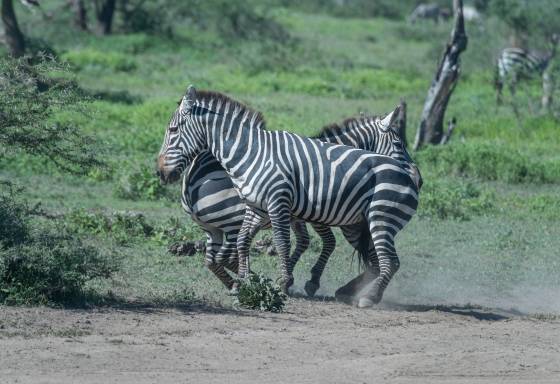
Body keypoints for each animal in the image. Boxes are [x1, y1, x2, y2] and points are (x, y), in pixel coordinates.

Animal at [156, 88, 420, 308]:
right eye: (399, 143)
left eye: (172, 130)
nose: (160, 172)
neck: (251, 154)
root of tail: (190, 182)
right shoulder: (272, 209)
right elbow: (264, 242)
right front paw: (259, 282)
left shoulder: (288, 207)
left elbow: (291, 243)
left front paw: (284, 281)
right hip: (221, 226)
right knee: (217, 258)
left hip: (376, 219)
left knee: (386, 260)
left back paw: (366, 296)